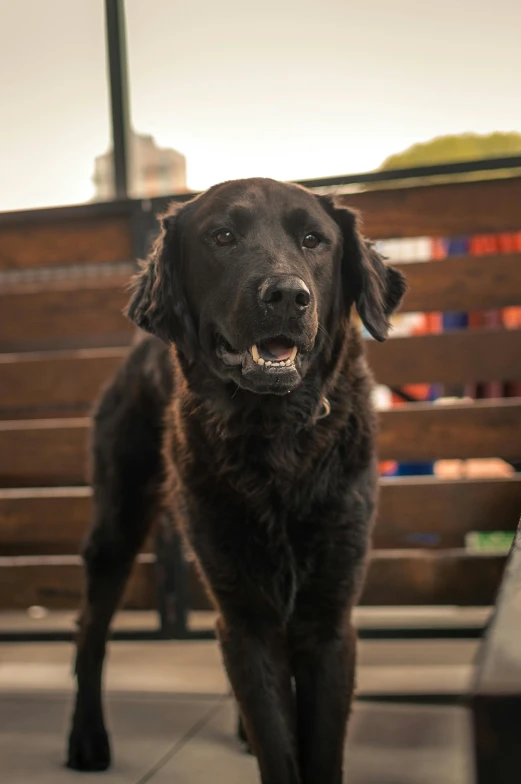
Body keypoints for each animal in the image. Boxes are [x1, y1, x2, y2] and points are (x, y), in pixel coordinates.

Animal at [66, 175, 406, 780]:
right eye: (222, 236)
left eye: (314, 240)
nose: (287, 296)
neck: (275, 442)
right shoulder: (243, 613)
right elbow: (278, 744)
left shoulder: (328, 617)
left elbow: (314, 748)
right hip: (117, 524)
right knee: (91, 630)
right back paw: (87, 739)